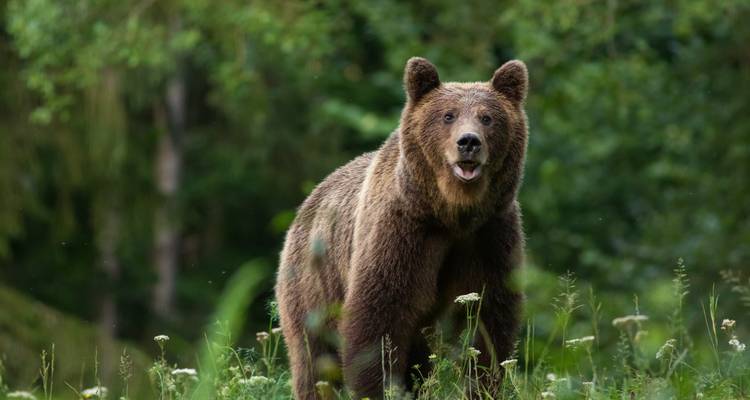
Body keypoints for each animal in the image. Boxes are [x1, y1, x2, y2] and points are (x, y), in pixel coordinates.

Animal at [275, 56, 529, 399]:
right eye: (448, 115)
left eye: (487, 117)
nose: (469, 142)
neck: (451, 213)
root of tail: (309, 201)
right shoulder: (402, 232)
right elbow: (379, 317)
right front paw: (379, 387)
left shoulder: (489, 235)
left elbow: (488, 319)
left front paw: (482, 385)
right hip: (313, 282)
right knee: (314, 357)